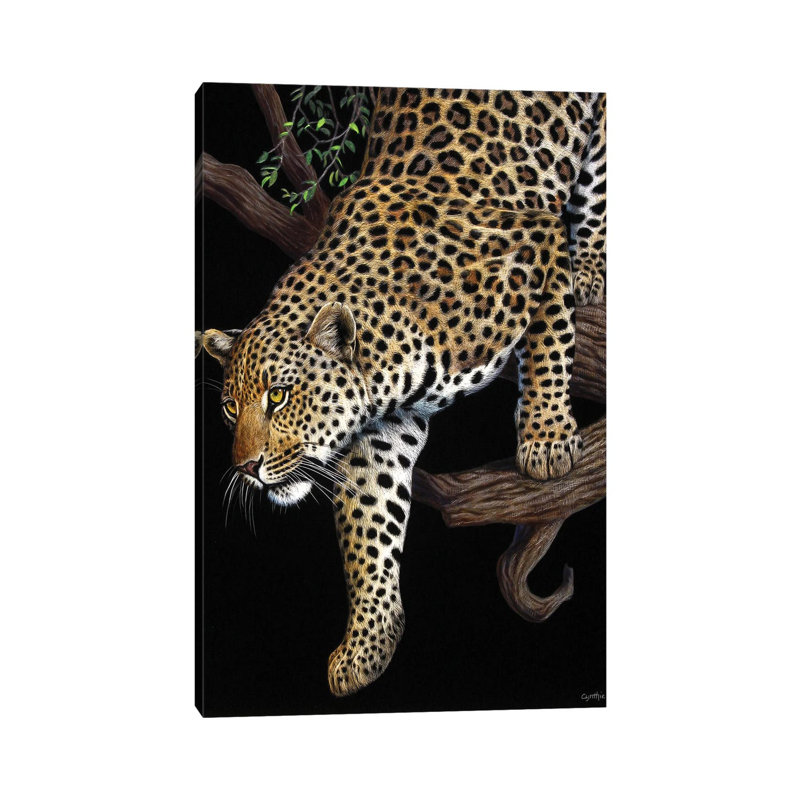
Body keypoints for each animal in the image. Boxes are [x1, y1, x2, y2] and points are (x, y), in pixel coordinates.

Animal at [198, 88, 606, 697]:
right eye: (229, 407)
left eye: (279, 396)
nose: (245, 467)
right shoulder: (384, 432)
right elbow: (369, 530)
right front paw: (368, 644)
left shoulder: (538, 242)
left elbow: (550, 335)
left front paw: (547, 437)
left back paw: (593, 270)